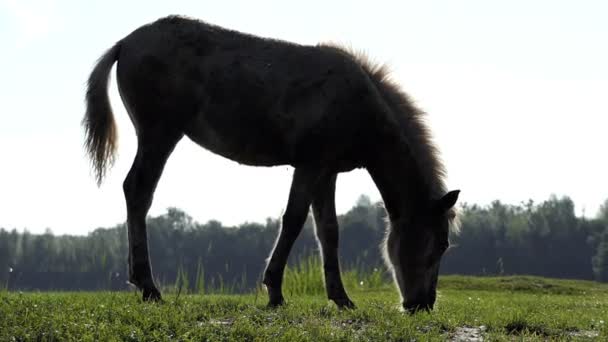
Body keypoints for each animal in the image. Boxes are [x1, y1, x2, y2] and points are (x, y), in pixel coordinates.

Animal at [83, 15, 458, 312]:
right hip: (159, 136)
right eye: (439, 244)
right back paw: (148, 287)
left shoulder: (326, 172)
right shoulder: (309, 165)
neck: (358, 105)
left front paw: (341, 298)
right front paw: (275, 292)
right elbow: (293, 221)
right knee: (138, 191)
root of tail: (125, 43)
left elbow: (329, 231)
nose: (423, 304)